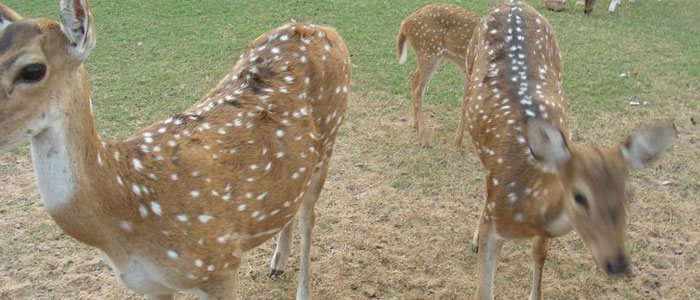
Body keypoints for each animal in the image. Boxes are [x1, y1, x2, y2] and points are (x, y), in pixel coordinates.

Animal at [0, 1, 350, 298]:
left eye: (33, 70)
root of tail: (327, 30)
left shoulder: (220, 264)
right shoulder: (152, 285)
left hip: (330, 138)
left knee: (309, 215)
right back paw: (277, 264)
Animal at [396, 3, 484, 146]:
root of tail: (405, 23)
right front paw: (457, 142)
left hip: (433, 57)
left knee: (414, 77)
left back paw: (416, 125)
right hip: (428, 53)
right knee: (419, 90)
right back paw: (424, 140)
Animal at [452, 2, 676, 300]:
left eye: (629, 193)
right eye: (579, 196)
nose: (618, 263)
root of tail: (514, 4)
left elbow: (540, 252)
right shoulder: (495, 224)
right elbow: (484, 291)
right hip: (469, 61)